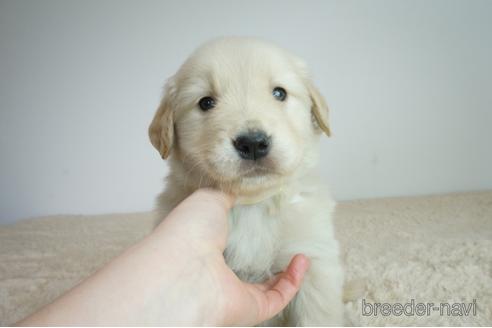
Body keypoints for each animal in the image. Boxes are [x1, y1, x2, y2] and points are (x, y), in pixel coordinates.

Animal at [148, 36, 344, 326]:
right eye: (206, 102)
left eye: (279, 93)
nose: (252, 143)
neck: (253, 207)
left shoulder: (312, 261)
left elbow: (318, 316)